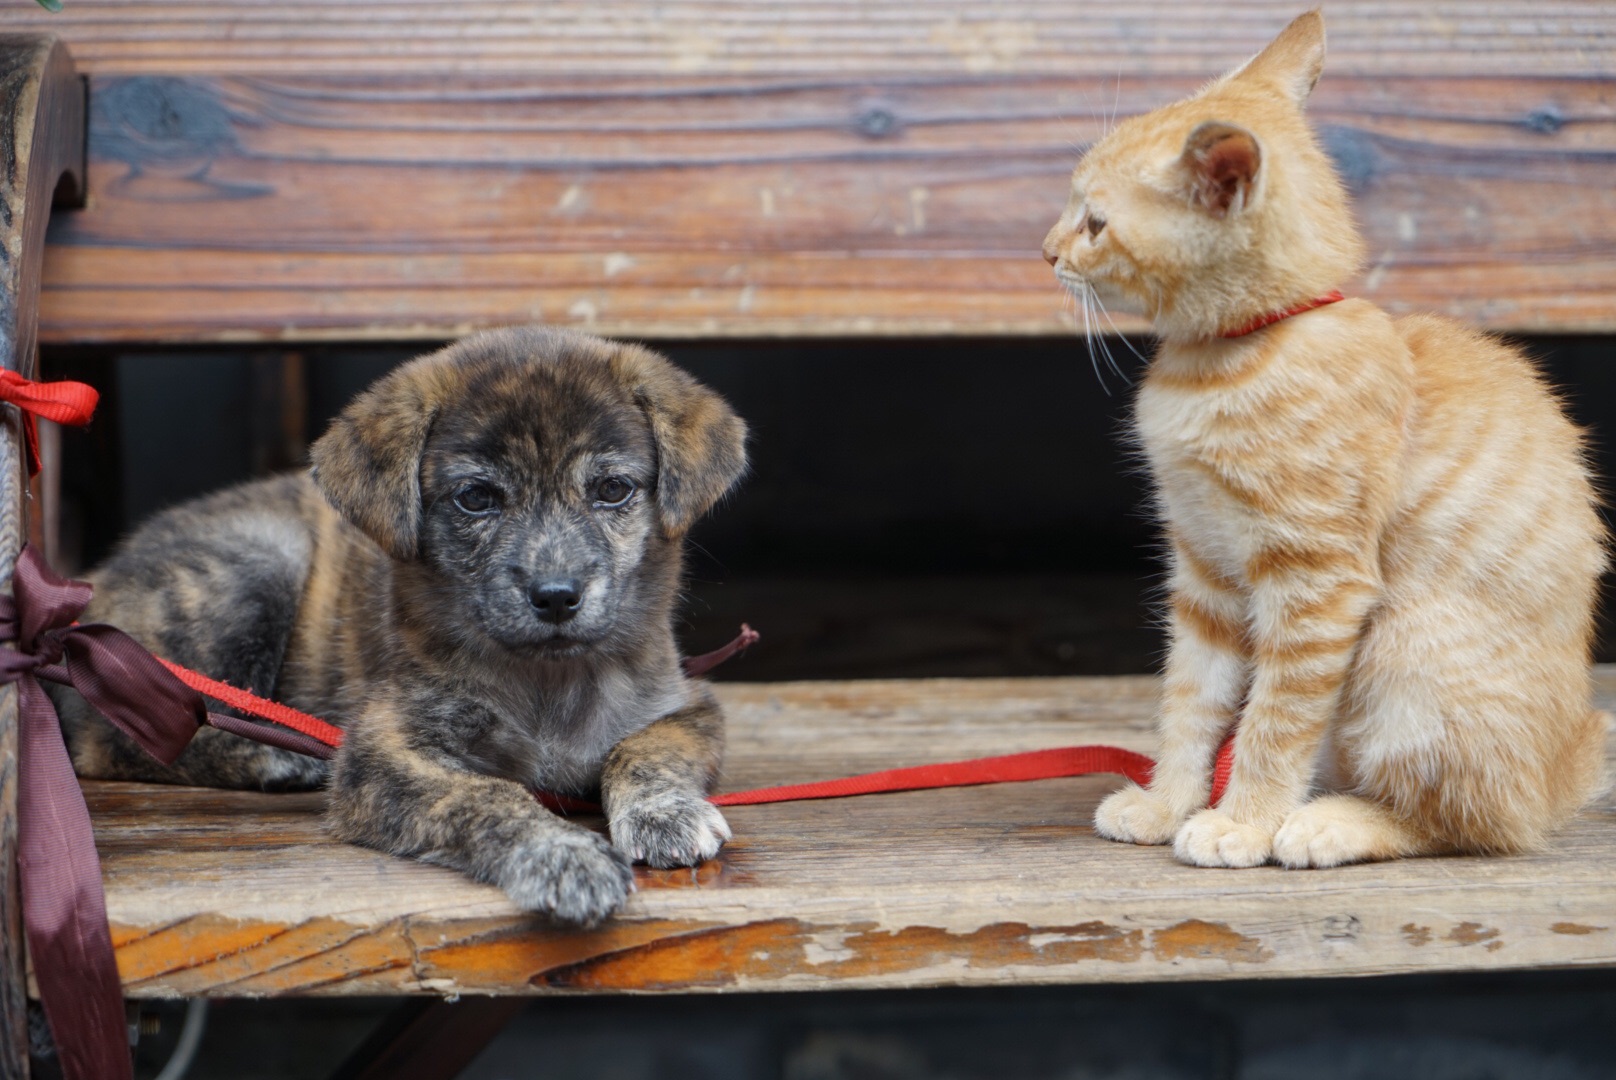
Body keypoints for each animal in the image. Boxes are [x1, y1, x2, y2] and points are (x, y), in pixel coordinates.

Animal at [53, 324, 746, 924]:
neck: (547, 681)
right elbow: (485, 794)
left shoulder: (685, 703)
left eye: (612, 489)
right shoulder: (384, 748)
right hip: (260, 563)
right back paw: (276, 758)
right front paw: (562, 856)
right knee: (120, 737)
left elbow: (645, 750)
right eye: (477, 498)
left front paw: (665, 815)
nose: (555, 598)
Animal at [1040, 10, 1609, 866]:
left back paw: (1333, 821)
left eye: (1096, 223)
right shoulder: (1205, 573)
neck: (1224, 360)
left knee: (1476, 824)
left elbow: (1273, 720)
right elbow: (1191, 700)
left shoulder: (1317, 582)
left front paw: (1242, 820)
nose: (1045, 250)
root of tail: (1554, 777)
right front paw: (1168, 801)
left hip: (1404, 649)